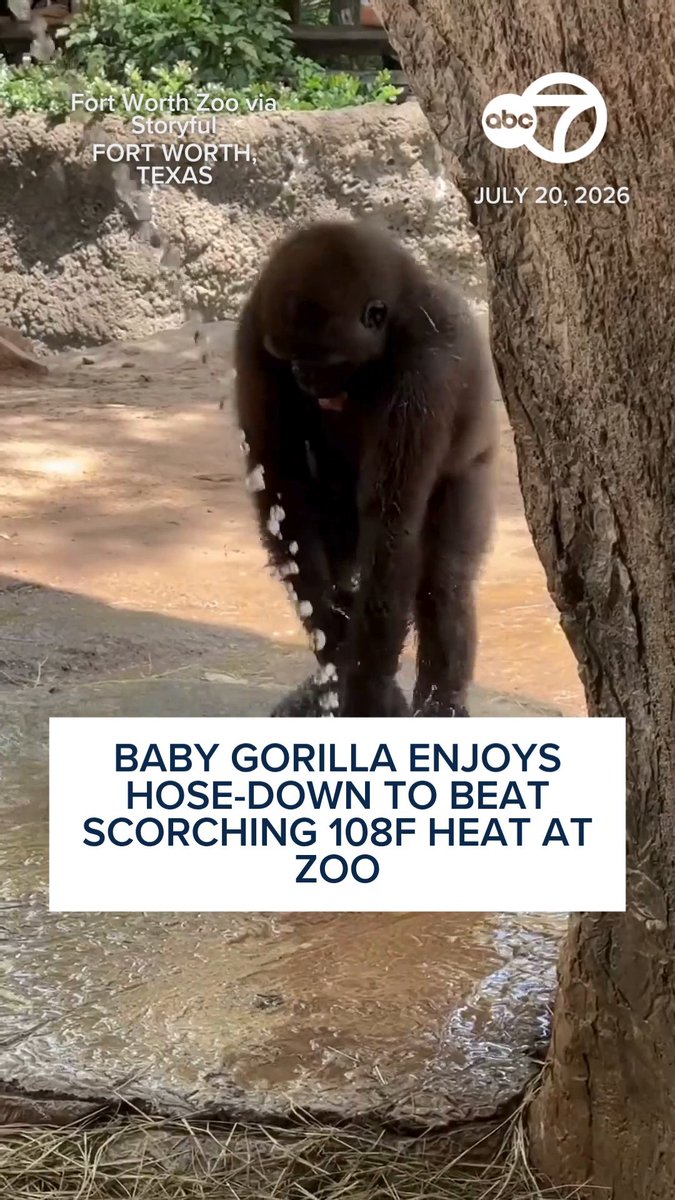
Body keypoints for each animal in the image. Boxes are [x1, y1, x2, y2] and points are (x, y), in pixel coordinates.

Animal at [234, 219, 496, 718]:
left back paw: (442, 705)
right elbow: (281, 484)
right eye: (289, 357)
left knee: (444, 581)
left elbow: (391, 523)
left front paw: (368, 690)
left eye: (325, 360)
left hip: (475, 464)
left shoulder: (428, 365)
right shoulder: (254, 329)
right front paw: (339, 662)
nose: (303, 377)